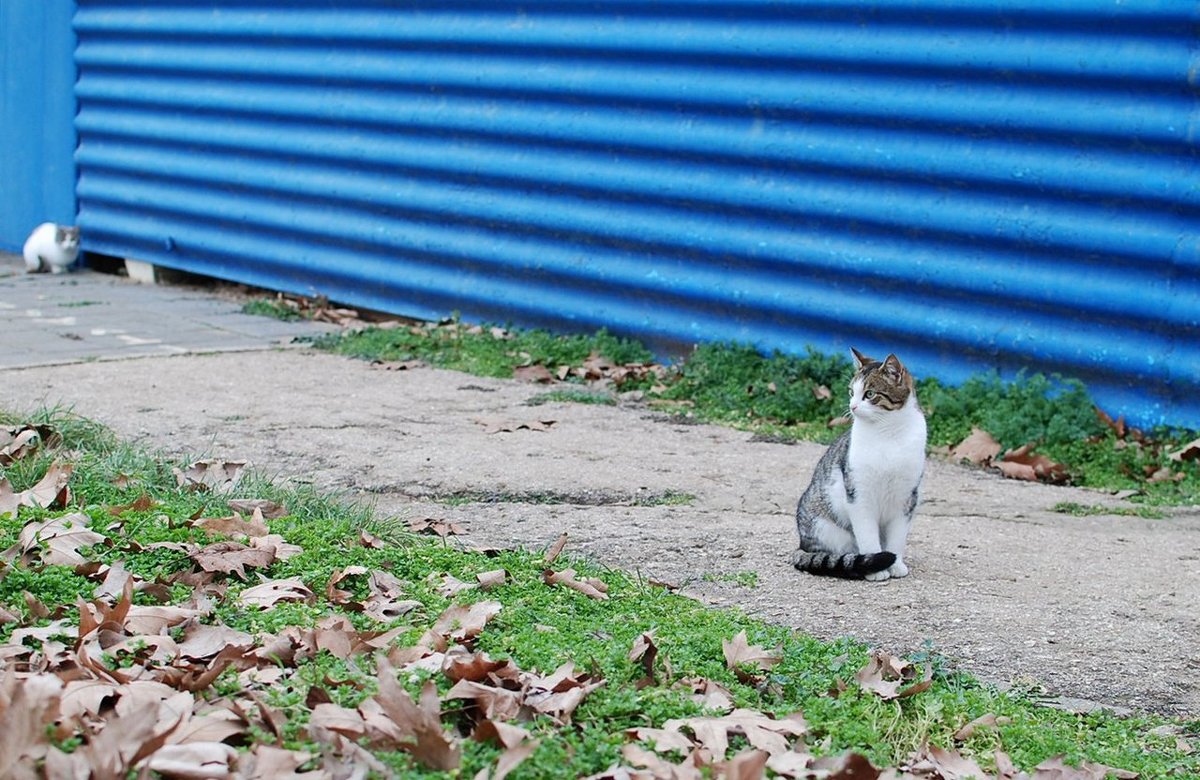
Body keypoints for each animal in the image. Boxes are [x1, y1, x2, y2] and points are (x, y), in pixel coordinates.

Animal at [787, 345, 926, 576]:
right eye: (852, 392)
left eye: (869, 394)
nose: (852, 407)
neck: (887, 433)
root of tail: (802, 545)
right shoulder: (858, 494)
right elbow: (867, 535)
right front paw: (877, 569)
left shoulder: (906, 498)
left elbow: (897, 538)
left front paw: (896, 565)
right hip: (827, 527)